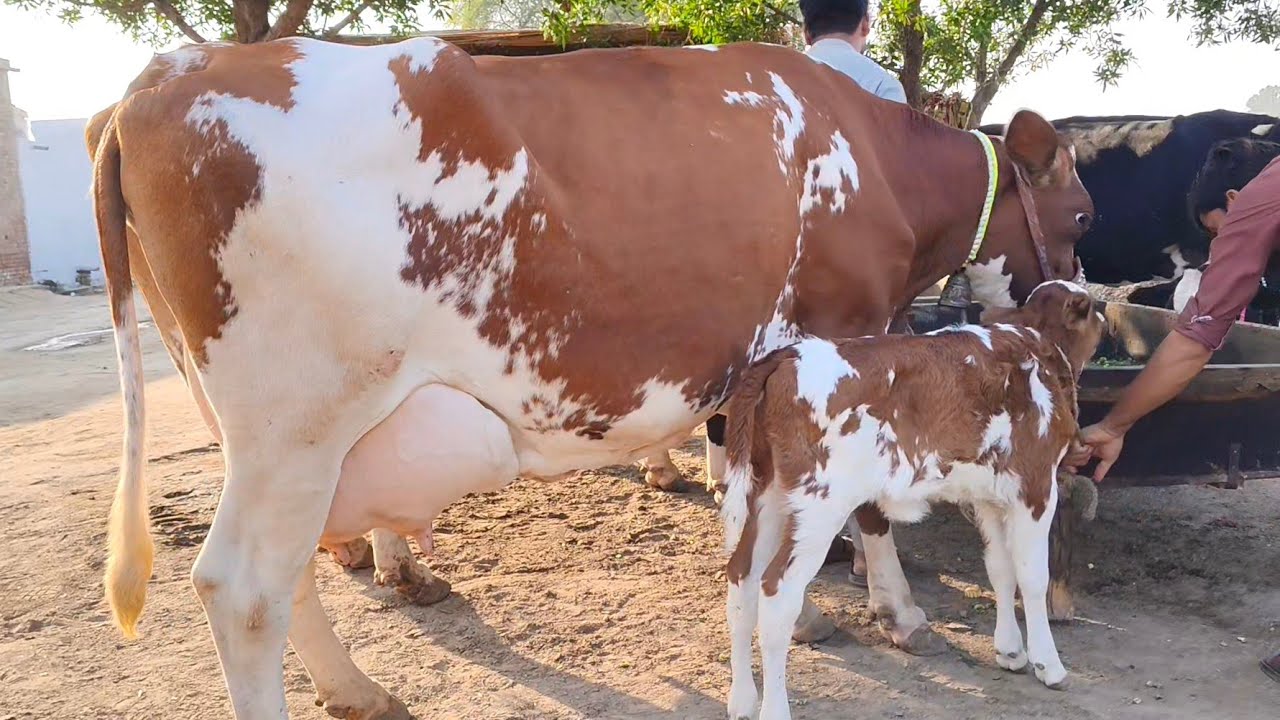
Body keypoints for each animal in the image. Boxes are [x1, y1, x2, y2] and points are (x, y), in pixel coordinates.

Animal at [721, 281, 1105, 719]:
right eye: (1090, 309)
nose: (1107, 313)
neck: (1035, 347)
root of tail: (786, 357)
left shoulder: (990, 496)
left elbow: (1001, 570)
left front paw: (1010, 651)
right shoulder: (1037, 485)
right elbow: (1032, 576)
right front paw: (1048, 664)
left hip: (766, 492)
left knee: (741, 578)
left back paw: (742, 700)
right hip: (819, 505)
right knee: (775, 593)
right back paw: (773, 708)